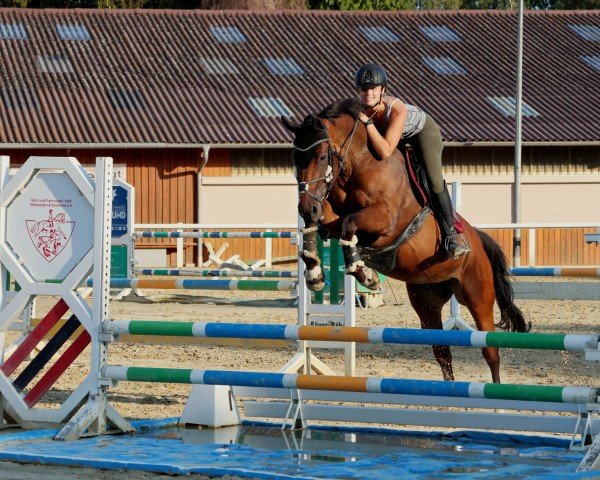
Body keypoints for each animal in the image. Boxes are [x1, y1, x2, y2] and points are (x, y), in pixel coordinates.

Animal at [282, 97, 528, 382]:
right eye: (295, 158)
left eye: (322, 156)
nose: (306, 208)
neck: (359, 161)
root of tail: (477, 239)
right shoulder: (330, 214)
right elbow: (322, 226)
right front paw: (314, 274)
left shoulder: (386, 220)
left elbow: (348, 225)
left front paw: (366, 275)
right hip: (427, 300)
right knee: (442, 353)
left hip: (478, 297)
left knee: (490, 351)